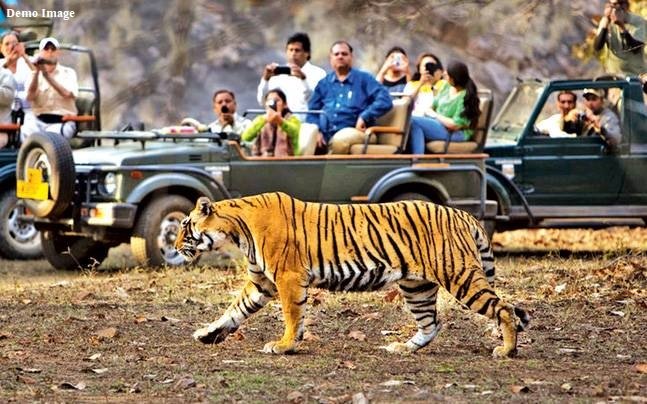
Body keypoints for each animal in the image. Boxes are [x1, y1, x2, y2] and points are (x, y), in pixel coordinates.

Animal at [175, 192, 529, 358]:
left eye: (186, 226)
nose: (176, 246)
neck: (237, 230)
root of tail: (462, 214)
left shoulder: (287, 277)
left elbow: (292, 315)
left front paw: (285, 345)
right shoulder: (261, 282)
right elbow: (234, 310)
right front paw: (207, 333)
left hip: (459, 275)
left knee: (504, 308)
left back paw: (507, 350)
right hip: (417, 286)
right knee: (432, 323)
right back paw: (402, 348)